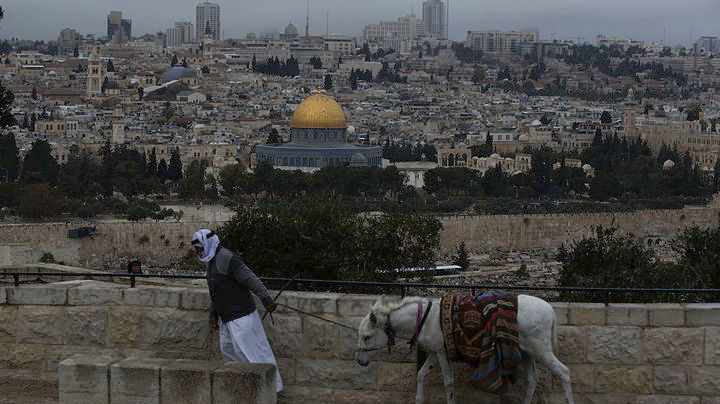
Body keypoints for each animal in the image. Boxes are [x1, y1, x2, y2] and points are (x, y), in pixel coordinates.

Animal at [355, 295, 574, 404]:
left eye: (366, 337)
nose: (359, 361)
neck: (425, 318)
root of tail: (550, 309)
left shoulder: (442, 353)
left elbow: (449, 382)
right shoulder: (434, 352)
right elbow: (420, 375)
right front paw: (418, 400)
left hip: (541, 349)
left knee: (564, 371)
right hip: (529, 352)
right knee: (532, 380)